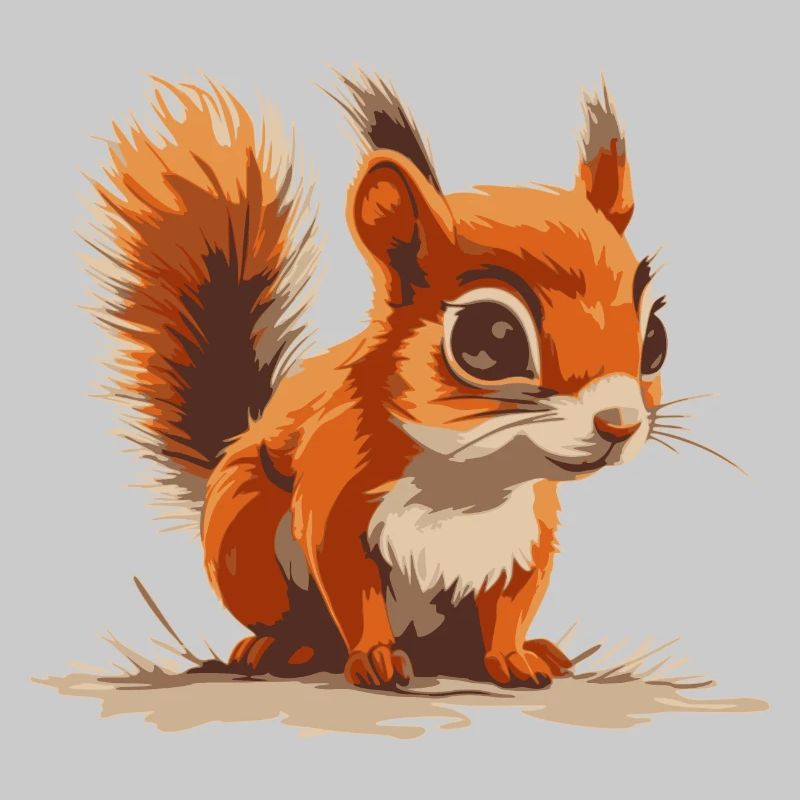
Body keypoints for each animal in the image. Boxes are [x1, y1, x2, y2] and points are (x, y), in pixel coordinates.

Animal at [86, 71, 669, 689]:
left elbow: (513, 603)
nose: (619, 424)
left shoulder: (528, 536)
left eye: (656, 337)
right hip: (243, 532)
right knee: (298, 621)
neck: (471, 478)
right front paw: (375, 657)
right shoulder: (334, 504)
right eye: (491, 339)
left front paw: (513, 654)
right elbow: (354, 592)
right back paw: (282, 648)